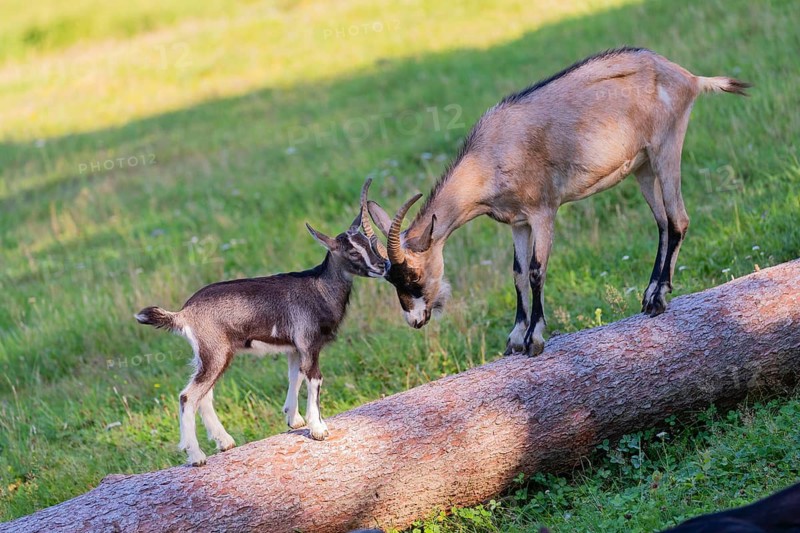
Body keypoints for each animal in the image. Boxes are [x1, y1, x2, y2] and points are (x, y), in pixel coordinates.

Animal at [135, 207, 387, 466]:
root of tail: (183, 314)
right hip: (216, 353)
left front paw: (294, 419)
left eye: (369, 242)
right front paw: (318, 429)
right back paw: (196, 456)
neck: (319, 289)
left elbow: (295, 376)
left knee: (203, 396)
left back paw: (224, 442)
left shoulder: (295, 348)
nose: (383, 265)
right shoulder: (309, 343)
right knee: (188, 396)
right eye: (351, 251)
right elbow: (315, 379)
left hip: (206, 356)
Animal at [363, 47, 750, 356]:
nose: (414, 320)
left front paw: (534, 338)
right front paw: (514, 339)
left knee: (678, 219)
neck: (491, 155)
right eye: (392, 279)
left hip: (666, 146)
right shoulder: (517, 222)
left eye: (413, 274)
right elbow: (517, 273)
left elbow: (536, 270)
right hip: (641, 167)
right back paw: (652, 292)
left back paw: (657, 301)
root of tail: (688, 77)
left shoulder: (543, 210)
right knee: (662, 222)